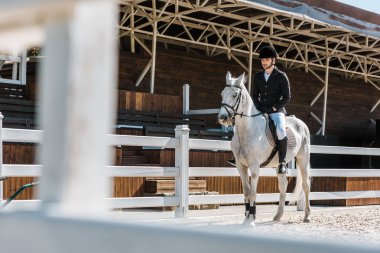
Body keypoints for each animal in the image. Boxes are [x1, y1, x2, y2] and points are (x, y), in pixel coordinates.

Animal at [217, 72, 312, 224]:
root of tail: (300, 123)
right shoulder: (240, 166)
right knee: (283, 185)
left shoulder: (255, 167)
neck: (247, 129)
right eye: (222, 94)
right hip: (280, 164)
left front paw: (251, 219)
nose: (222, 118)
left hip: (303, 159)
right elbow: (246, 192)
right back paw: (278, 216)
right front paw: (247, 217)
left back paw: (307, 216)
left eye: (235, 95)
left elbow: (253, 193)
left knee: (306, 185)